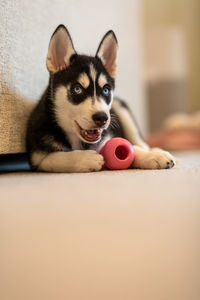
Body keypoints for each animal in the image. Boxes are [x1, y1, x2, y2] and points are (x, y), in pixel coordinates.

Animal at [26, 24, 175, 172]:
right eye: (77, 89)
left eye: (106, 90)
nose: (102, 118)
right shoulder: (36, 158)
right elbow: (55, 157)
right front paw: (85, 158)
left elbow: (132, 147)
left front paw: (153, 156)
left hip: (121, 107)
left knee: (140, 142)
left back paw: (155, 150)